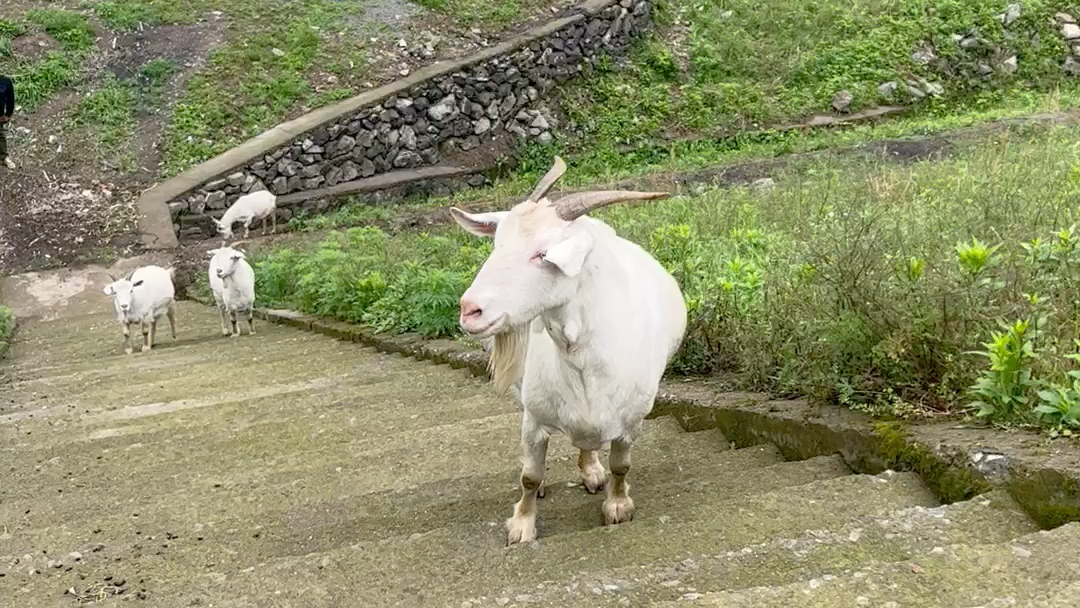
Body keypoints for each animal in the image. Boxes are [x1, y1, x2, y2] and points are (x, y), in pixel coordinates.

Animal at [449, 154, 686, 544]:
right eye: (497, 244)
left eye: (542, 254)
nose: (470, 310)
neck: (582, 359)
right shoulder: (535, 417)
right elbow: (530, 475)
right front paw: (521, 525)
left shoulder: (631, 421)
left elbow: (621, 465)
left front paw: (617, 506)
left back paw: (592, 472)